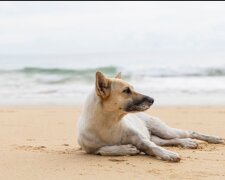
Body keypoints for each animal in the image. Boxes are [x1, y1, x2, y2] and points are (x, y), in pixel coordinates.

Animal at [77, 71, 223, 162]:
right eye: (126, 91)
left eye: (132, 88)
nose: (152, 100)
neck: (110, 122)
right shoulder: (89, 149)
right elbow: (102, 149)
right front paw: (125, 148)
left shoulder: (142, 140)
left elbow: (153, 147)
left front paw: (167, 154)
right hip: (158, 136)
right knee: (170, 140)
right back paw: (186, 142)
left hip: (164, 130)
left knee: (188, 132)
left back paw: (213, 139)